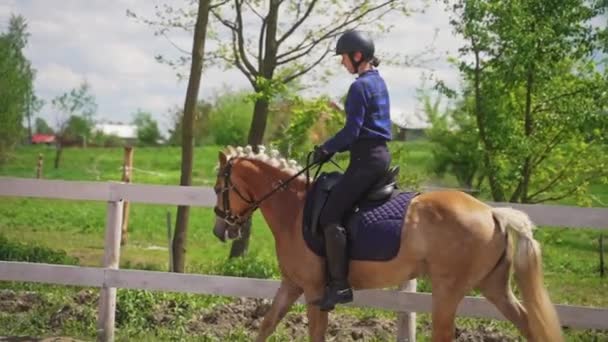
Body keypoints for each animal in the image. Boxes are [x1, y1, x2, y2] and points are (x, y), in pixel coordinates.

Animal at [211, 146, 564, 342]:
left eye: (218, 188)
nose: (220, 230)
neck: (294, 207)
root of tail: (492, 212)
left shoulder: (314, 290)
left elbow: (315, 335)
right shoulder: (292, 284)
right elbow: (266, 325)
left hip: (447, 292)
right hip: (494, 287)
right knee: (529, 326)